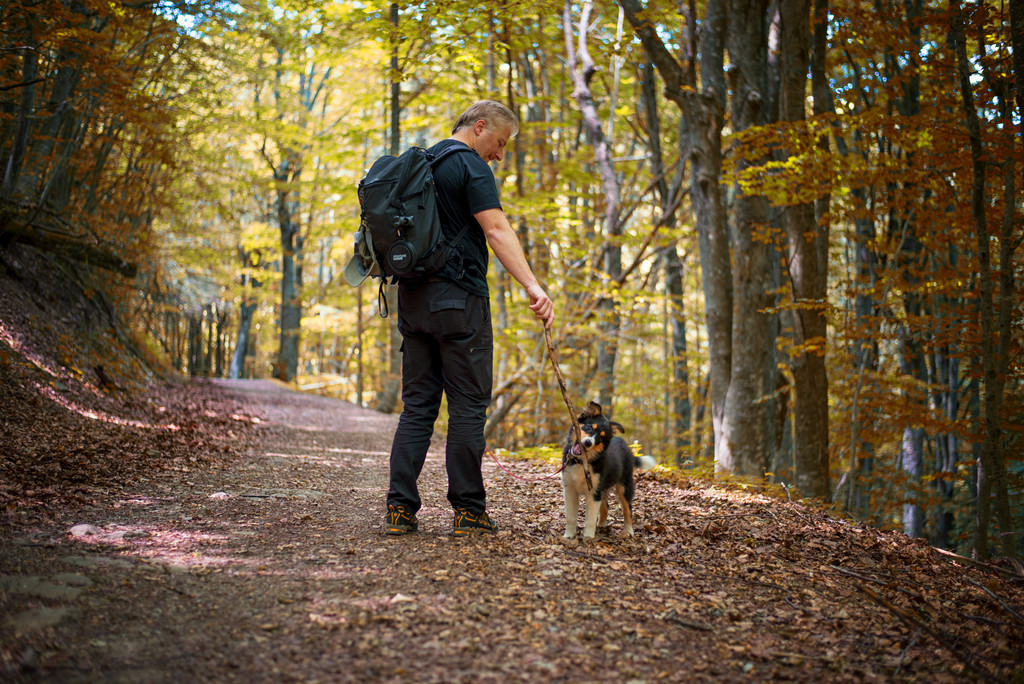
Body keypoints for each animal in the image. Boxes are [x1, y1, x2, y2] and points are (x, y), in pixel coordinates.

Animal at [561, 401, 655, 540]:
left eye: (600, 438)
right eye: (588, 428)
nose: (588, 443)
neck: (582, 462)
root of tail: (627, 447)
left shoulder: (593, 492)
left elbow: (590, 519)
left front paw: (588, 538)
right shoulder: (570, 489)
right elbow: (571, 517)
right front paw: (568, 536)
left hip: (624, 485)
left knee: (628, 508)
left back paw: (628, 530)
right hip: (603, 487)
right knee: (605, 506)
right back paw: (601, 526)